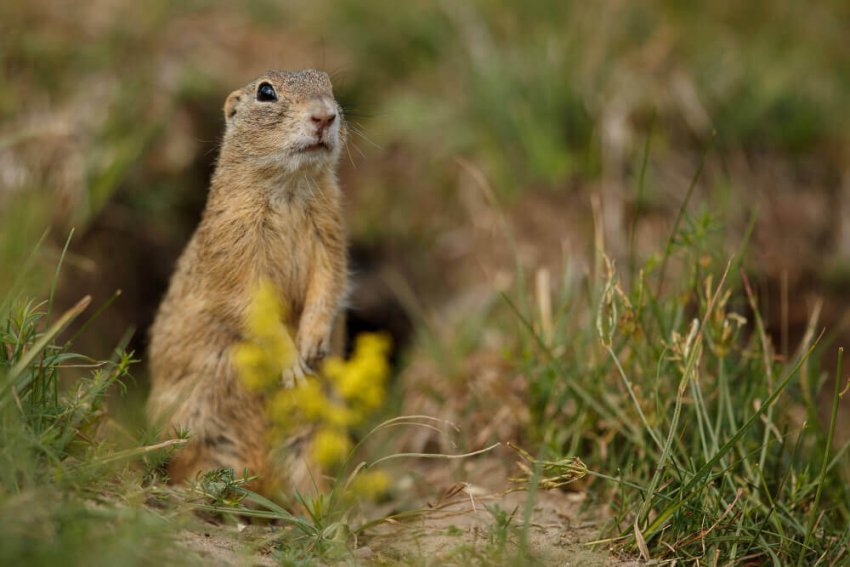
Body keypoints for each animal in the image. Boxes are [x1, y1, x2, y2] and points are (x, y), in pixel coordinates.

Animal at [147, 70, 348, 488]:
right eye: (265, 92)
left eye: (330, 86)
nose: (325, 116)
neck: (288, 187)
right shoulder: (234, 244)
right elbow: (249, 304)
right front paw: (292, 364)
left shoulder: (332, 233)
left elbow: (329, 282)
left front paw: (312, 343)